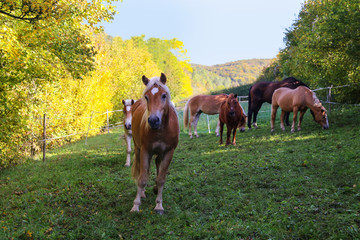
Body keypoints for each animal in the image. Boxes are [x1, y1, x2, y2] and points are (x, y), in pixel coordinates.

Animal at [130, 72, 179, 214]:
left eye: (164, 95)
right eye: (147, 97)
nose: (153, 120)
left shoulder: (168, 152)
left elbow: (161, 179)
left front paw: (159, 205)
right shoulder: (146, 151)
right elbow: (142, 179)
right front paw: (136, 205)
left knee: (157, 164)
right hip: (138, 149)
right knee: (143, 171)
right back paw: (142, 193)